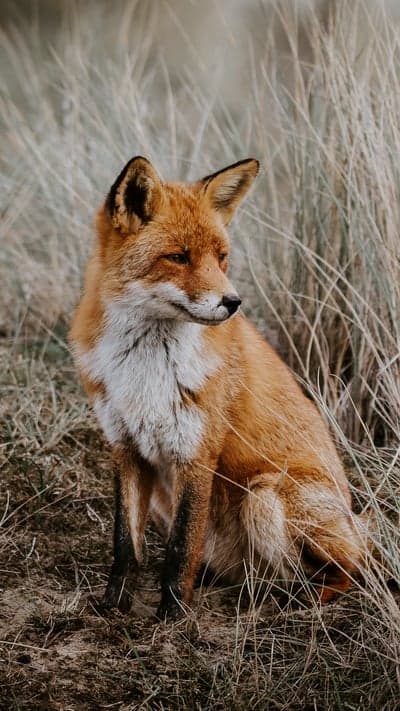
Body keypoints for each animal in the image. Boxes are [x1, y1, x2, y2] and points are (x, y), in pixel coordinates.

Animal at [69, 155, 364, 619]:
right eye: (178, 257)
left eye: (221, 258)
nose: (233, 302)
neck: (144, 370)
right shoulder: (126, 448)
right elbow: (125, 546)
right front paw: (113, 608)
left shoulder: (196, 451)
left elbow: (180, 547)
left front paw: (172, 617)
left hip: (266, 497)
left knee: (350, 571)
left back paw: (297, 602)